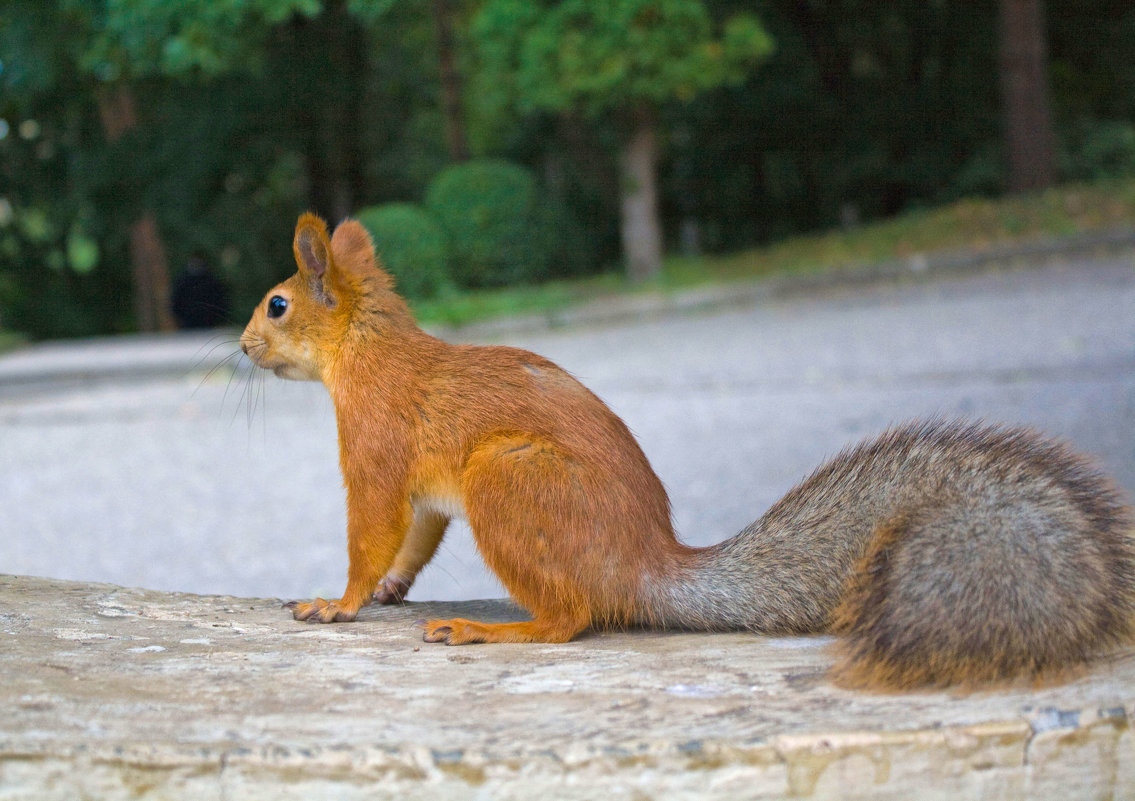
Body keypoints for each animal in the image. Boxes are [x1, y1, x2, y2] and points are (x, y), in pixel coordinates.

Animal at [234, 213, 1130, 685]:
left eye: (276, 304)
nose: (240, 346)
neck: (368, 349)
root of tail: (642, 563)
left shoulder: (376, 449)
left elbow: (371, 528)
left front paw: (340, 600)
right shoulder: (422, 491)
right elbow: (414, 538)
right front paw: (388, 588)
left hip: (507, 478)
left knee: (572, 618)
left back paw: (488, 629)